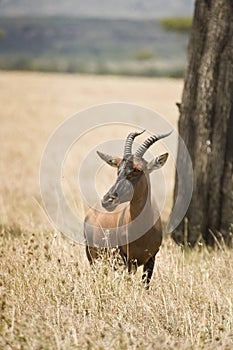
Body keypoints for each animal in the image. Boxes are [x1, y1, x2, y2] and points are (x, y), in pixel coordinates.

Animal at [84, 129, 171, 288]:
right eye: (118, 169)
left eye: (137, 169)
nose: (107, 200)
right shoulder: (127, 260)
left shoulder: (151, 260)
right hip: (93, 257)